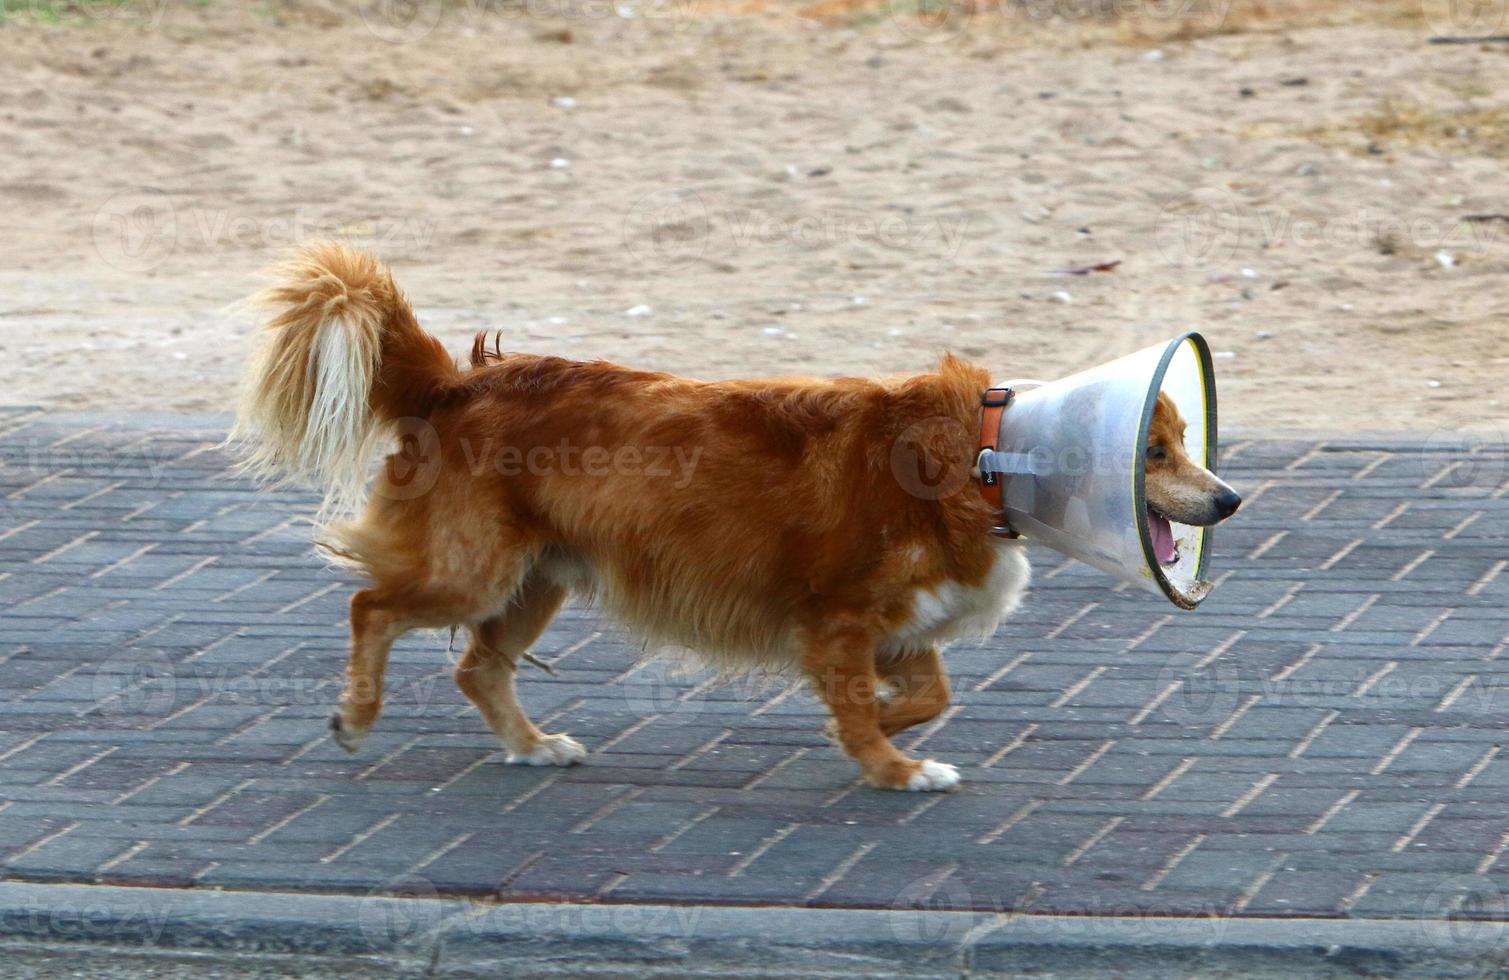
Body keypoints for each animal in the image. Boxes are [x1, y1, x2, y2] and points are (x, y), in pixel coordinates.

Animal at [238, 240, 1237, 791]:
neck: (982, 455)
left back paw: (532, 746)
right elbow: (872, 707)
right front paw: (893, 767)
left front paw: (877, 721)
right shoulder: (836, 616)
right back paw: (356, 715)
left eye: (1183, 442)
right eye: (1152, 453)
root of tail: (456, 383)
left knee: (477, 669)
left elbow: (924, 693)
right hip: (474, 572)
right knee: (371, 607)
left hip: (539, 579)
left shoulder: (895, 627)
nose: (1227, 500)